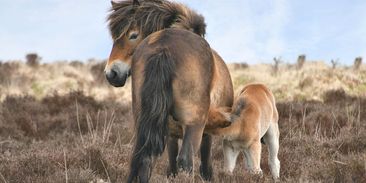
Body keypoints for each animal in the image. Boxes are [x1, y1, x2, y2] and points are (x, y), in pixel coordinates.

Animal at [104, 0, 233, 182]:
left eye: (133, 35)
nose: (111, 74)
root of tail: (163, 46)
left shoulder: (170, 132)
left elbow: (171, 164)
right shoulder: (206, 130)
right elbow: (204, 162)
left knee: (144, 158)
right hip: (194, 125)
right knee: (186, 160)